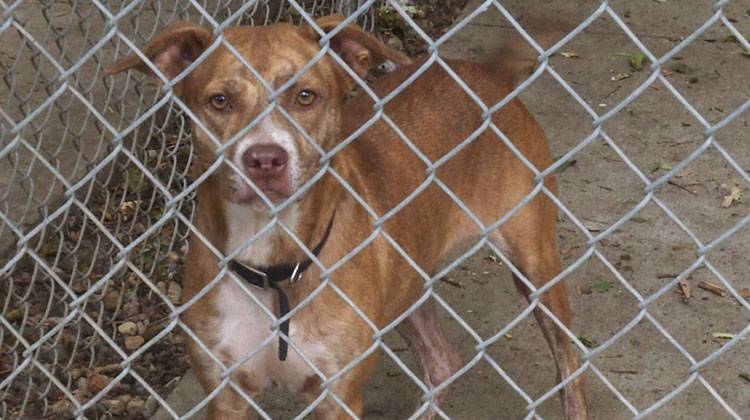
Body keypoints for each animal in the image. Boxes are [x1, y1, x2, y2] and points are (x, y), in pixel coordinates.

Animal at [110, 13, 592, 420]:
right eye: (220, 101)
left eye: (306, 96)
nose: (264, 159)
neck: (274, 259)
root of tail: (488, 74)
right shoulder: (225, 393)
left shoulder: (337, 396)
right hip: (407, 281)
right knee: (442, 361)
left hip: (536, 266)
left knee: (569, 366)